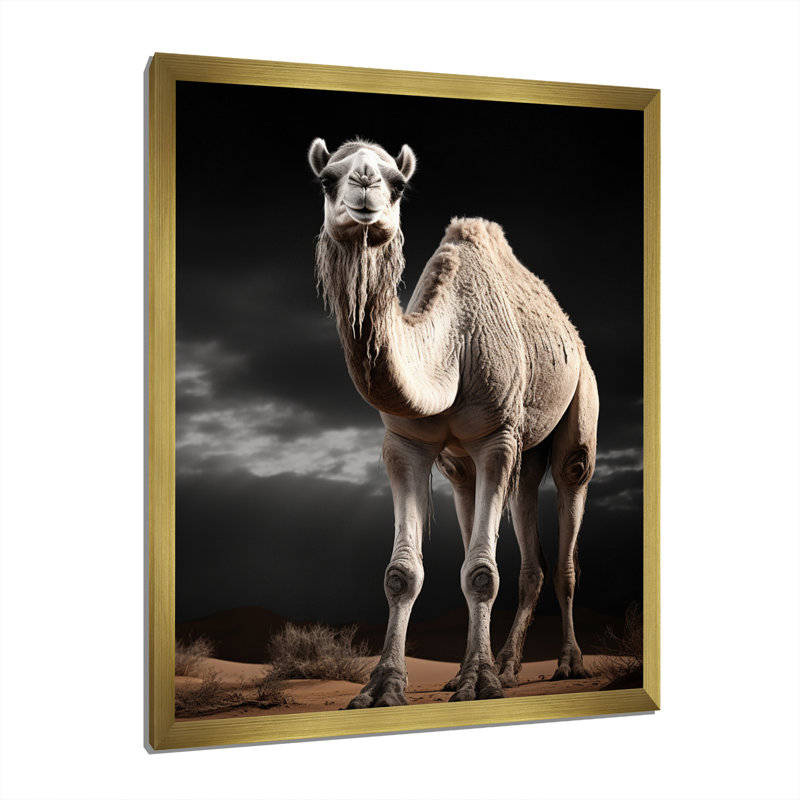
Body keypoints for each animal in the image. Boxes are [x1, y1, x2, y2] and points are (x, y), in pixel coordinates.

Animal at [308, 137, 599, 706]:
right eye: (327, 179)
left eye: (399, 184)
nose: (365, 187)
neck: (450, 346)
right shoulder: (405, 444)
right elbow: (402, 574)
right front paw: (382, 687)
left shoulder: (496, 438)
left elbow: (482, 572)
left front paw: (477, 682)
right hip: (487, 460)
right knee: (526, 535)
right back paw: (505, 666)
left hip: (579, 409)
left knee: (568, 518)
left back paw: (567, 664)